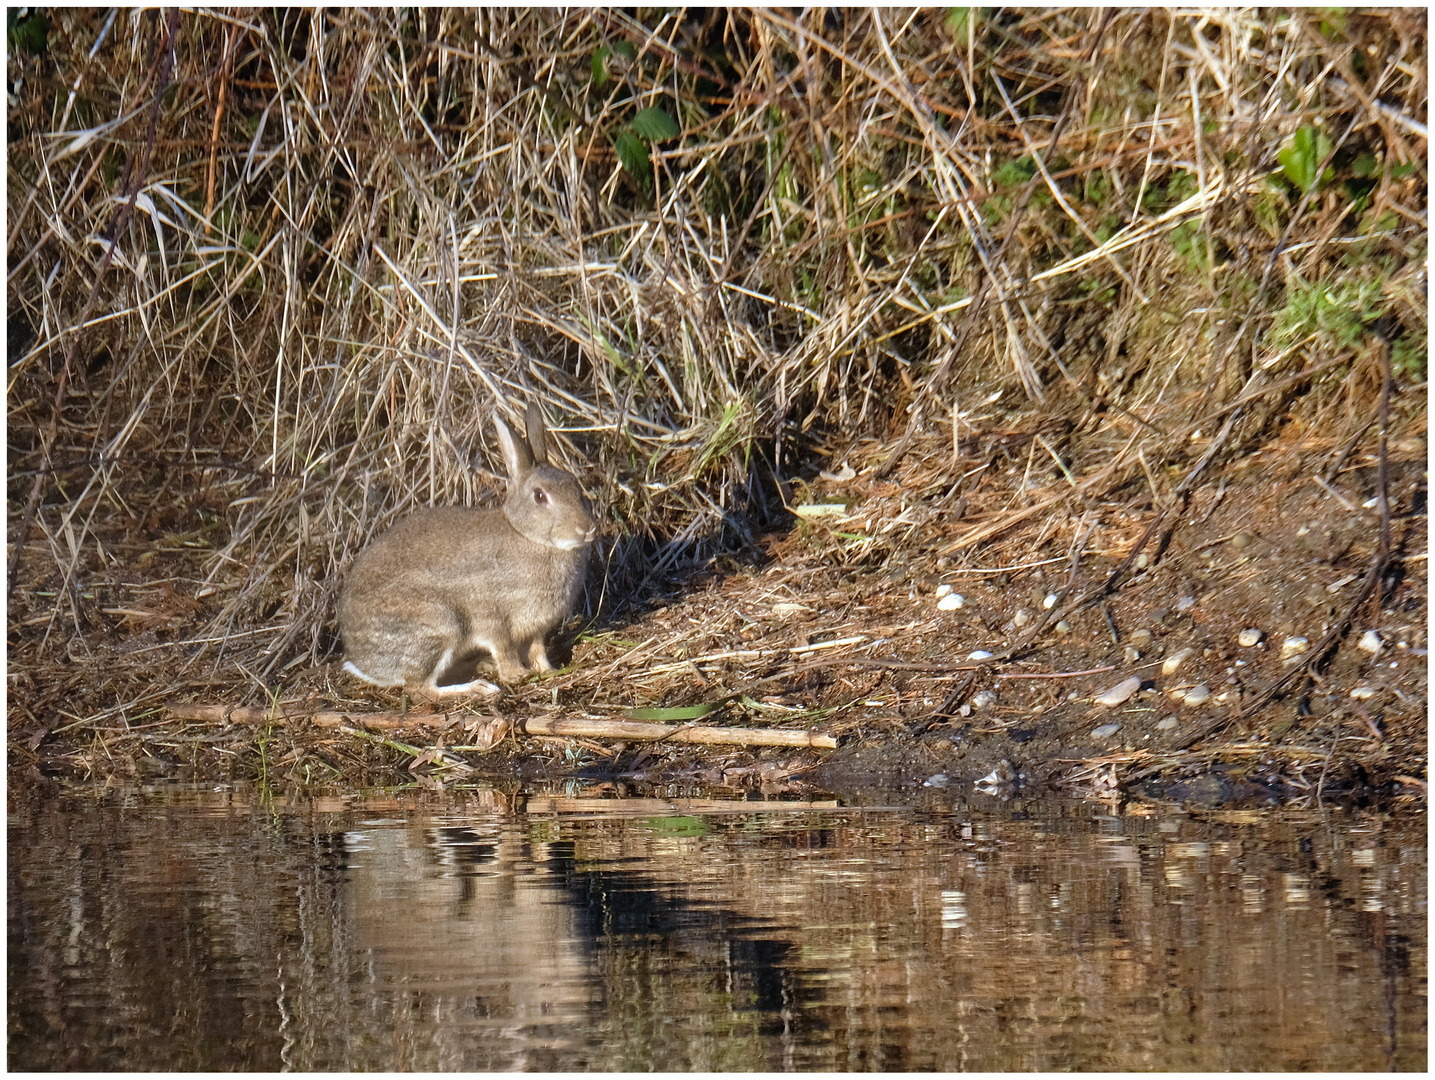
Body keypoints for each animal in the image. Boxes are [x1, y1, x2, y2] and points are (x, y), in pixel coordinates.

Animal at [338, 401, 596, 694]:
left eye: (575, 486)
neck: (529, 537)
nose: (586, 528)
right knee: (420, 689)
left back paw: (481, 667)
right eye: (540, 496)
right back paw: (477, 688)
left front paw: (547, 670)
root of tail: (364, 663)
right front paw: (517, 675)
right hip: (438, 626)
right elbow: (504, 647)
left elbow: (537, 649)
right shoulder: (491, 616)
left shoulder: (537, 629)